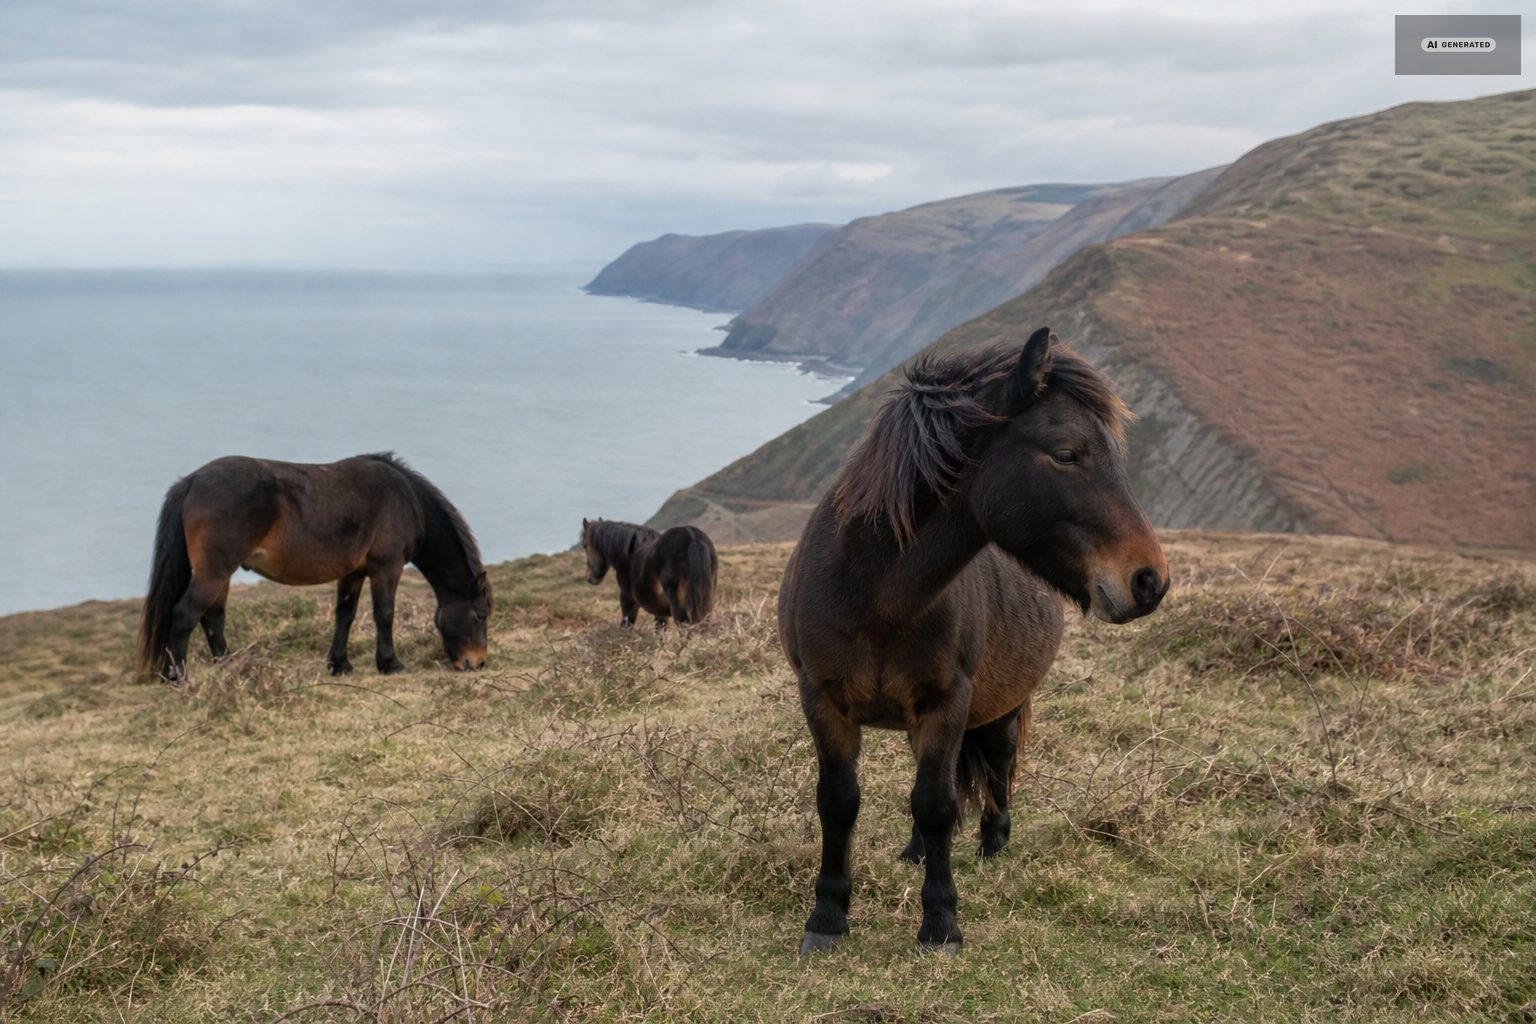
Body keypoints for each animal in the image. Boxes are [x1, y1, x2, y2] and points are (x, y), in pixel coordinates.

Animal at [137, 453, 492, 680]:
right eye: (479, 616)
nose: (476, 663)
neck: (407, 500)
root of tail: (192, 481)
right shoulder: (386, 568)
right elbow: (384, 615)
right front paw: (389, 663)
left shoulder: (352, 573)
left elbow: (345, 615)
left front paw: (340, 664)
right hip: (214, 573)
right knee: (185, 615)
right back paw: (179, 678)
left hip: (219, 575)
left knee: (213, 618)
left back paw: (230, 670)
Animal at [579, 519, 718, 628]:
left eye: (585, 545)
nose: (590, 578)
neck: (628, 554)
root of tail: (693, 539)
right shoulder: (660, 612)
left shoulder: (627, 600)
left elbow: (626, 625)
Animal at [779, 327, 1169, 955]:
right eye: (1067, 453)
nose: (1150, 580)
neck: (876, 596)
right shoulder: (823, 699)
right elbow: (840, 803)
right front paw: (827, 919)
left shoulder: (947, 703)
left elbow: (936, 804)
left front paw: (940, 924)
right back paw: (915, 853)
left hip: (1001, 707)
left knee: (997, 766)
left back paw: (993, 841)